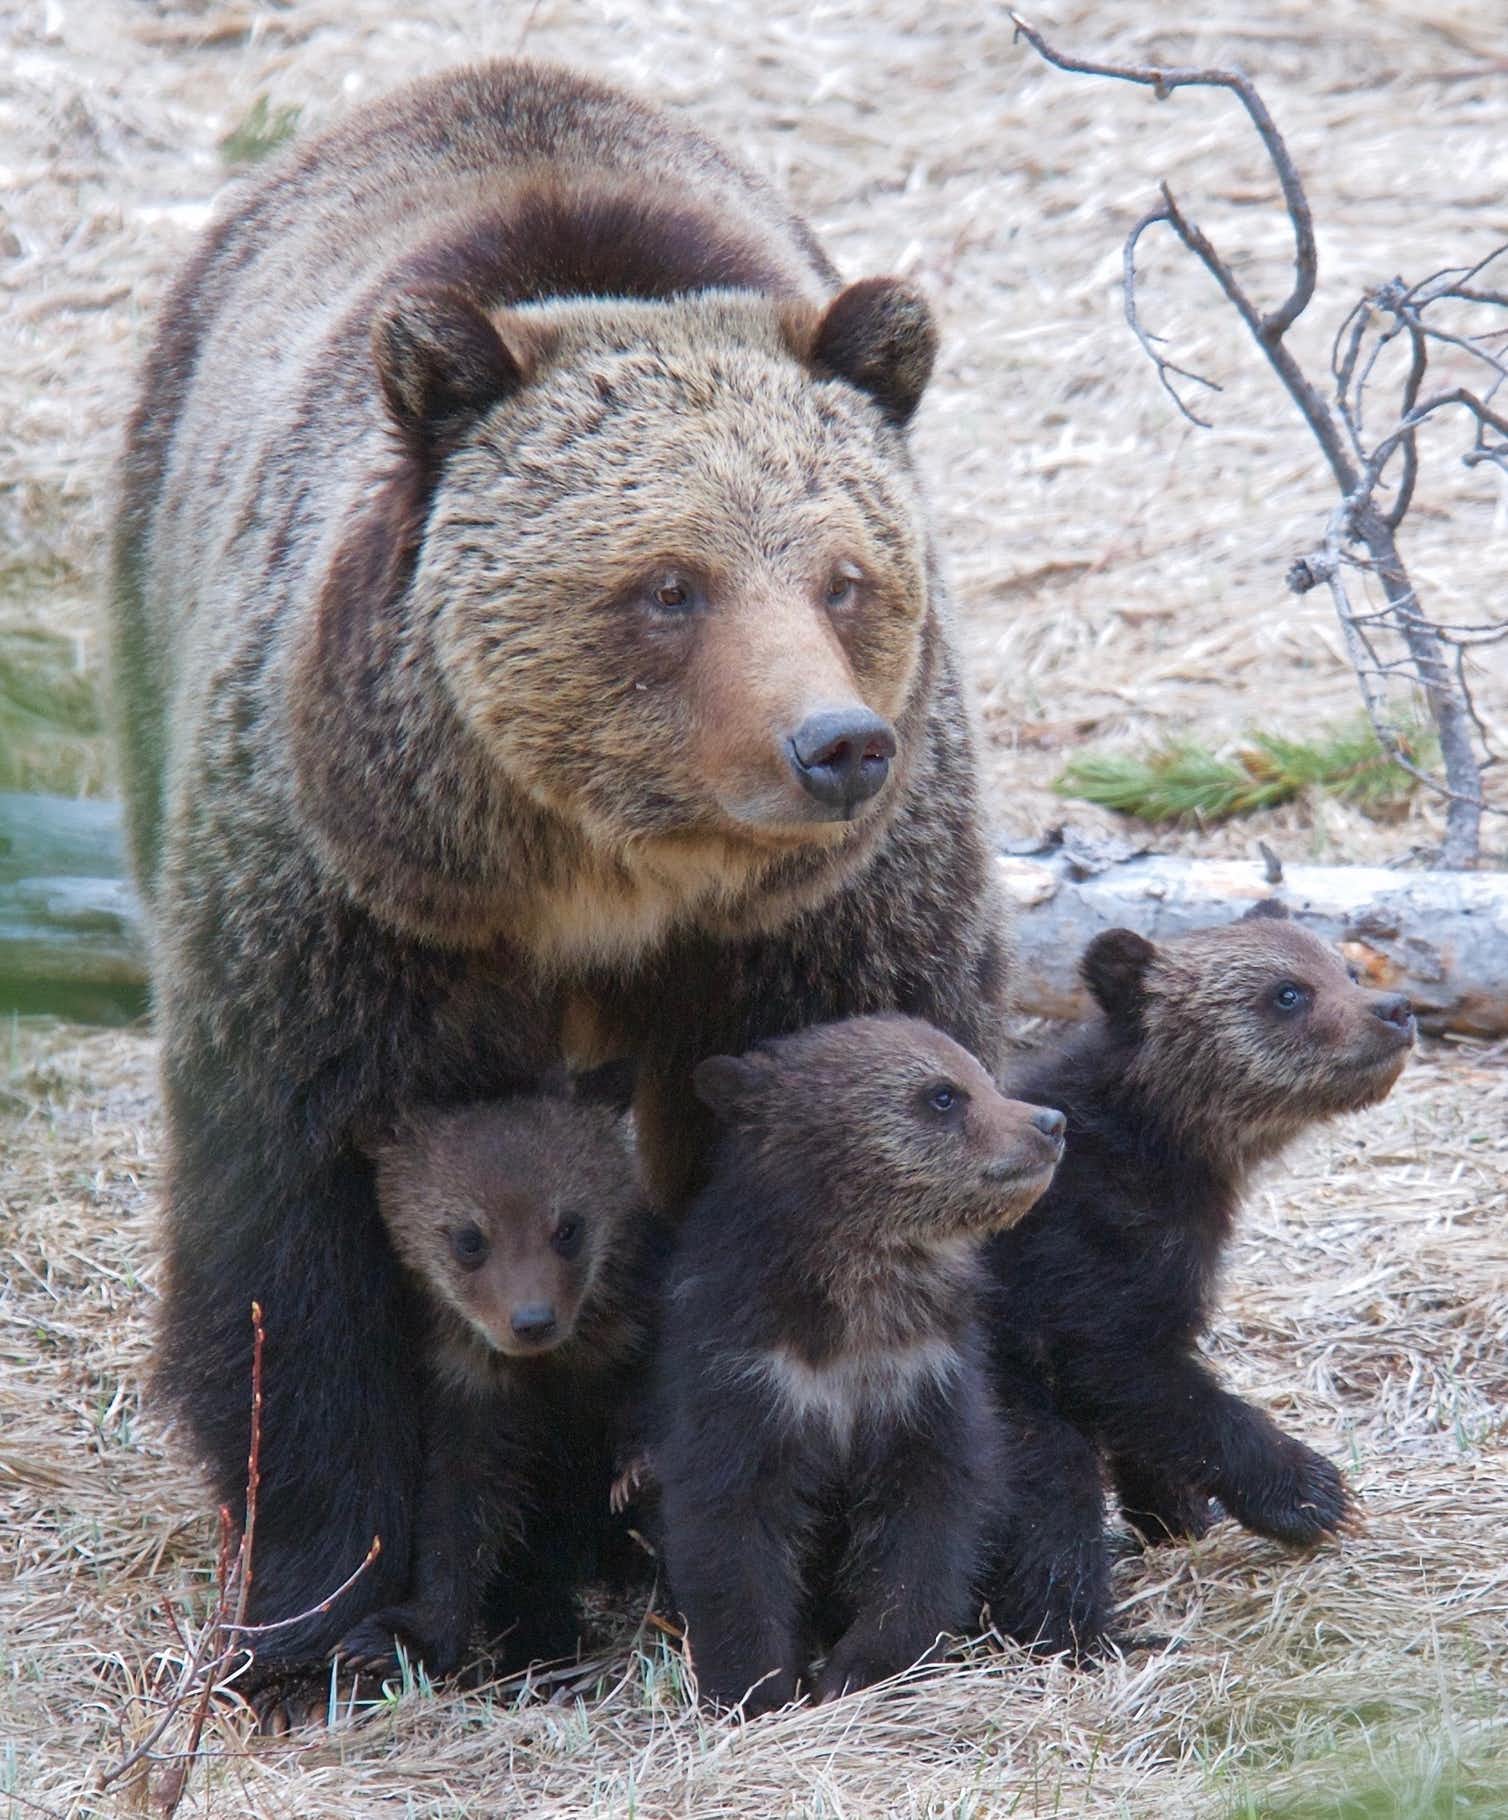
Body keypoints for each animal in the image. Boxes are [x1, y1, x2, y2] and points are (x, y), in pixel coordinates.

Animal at [108, 60, 1012, 1688]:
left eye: (846, 576)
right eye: (668, 585)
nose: (835, 745)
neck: (608, 866)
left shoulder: (822, 923)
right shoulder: (353, 907)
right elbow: (295, 1246)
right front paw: (318, 1619)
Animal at [649, 1015, 1066, 1715]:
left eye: (982, 1074)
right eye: (943, 1095)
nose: (1050, 1122)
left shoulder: (929, 1376)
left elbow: (930, 1520)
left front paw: (863, 1668)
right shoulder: (748, 1374)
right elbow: (730, 1522)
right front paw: (757, 1685)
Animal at [979, 904, 1416, 1660]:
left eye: (1349, 970)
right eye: (1287, 993)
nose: (1395, 1009)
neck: (1169, 1142)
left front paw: (1179, 1512)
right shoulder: (1075, 1255)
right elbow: (1132, 1375)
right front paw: (1310, 1492)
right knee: (1050, 1482)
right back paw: (1092, 1634)